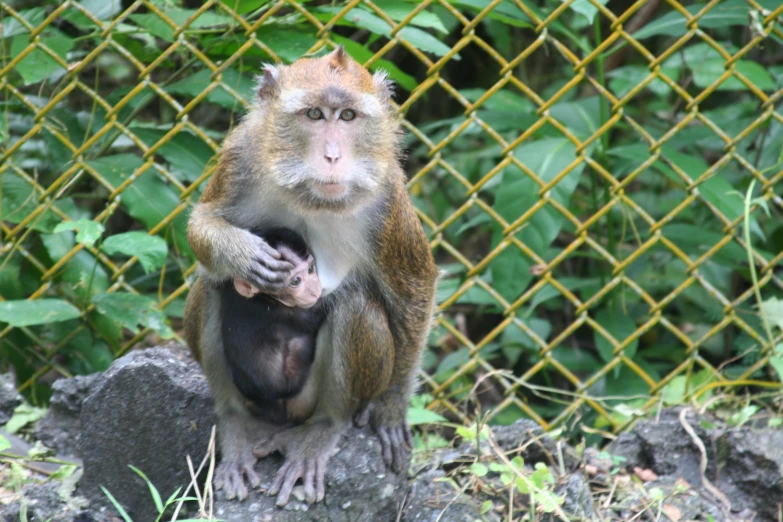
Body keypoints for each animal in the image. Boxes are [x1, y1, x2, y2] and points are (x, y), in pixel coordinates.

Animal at [220, 228, 328, 422]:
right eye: (295, 281)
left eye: (310, 269)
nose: (315, 291)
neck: (264, 298)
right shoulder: (284, 313)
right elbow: (313, 318)